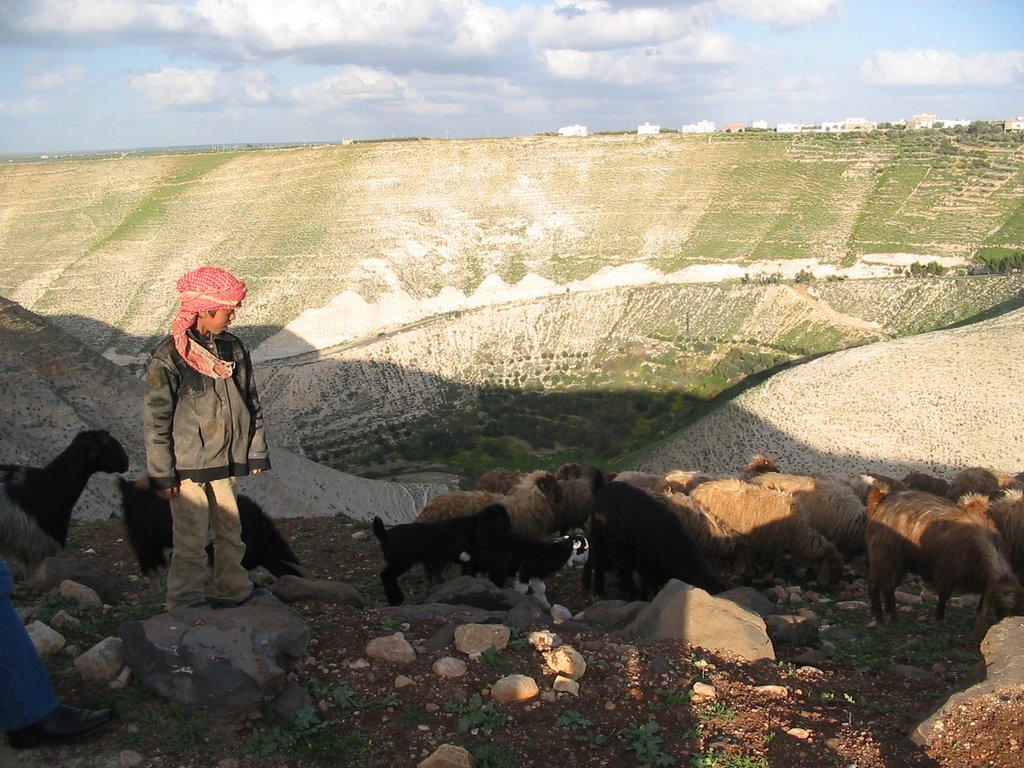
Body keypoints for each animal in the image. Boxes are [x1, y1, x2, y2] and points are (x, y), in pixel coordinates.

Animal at [372, 505, 507, 606]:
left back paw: (398, 599)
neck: (473, 527)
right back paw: (395, 601)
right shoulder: (462, 557)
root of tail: (384, 534)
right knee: (386, 575)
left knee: (389, 576)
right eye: (498, 520)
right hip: (400, 561)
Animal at [585, 473, 729, 606]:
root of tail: (603, 487)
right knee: (599, 562)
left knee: (621, 567)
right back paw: (600, 592)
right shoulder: (645, 563)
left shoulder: (658, 567)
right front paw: (644, 599)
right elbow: (646, 585)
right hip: (599, 536)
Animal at [864, 487, 1024, 643]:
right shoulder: (947, 572)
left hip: (898, 563)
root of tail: (881, 499)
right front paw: (939, 622)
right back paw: (879, 619)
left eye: (1016, 608)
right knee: (874, 586)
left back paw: (894, 618)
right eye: (998, 607)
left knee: (889, 588)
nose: (1005, 624)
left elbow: (980, 604)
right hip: (884, 557)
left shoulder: (984, 585)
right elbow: (943, 597)